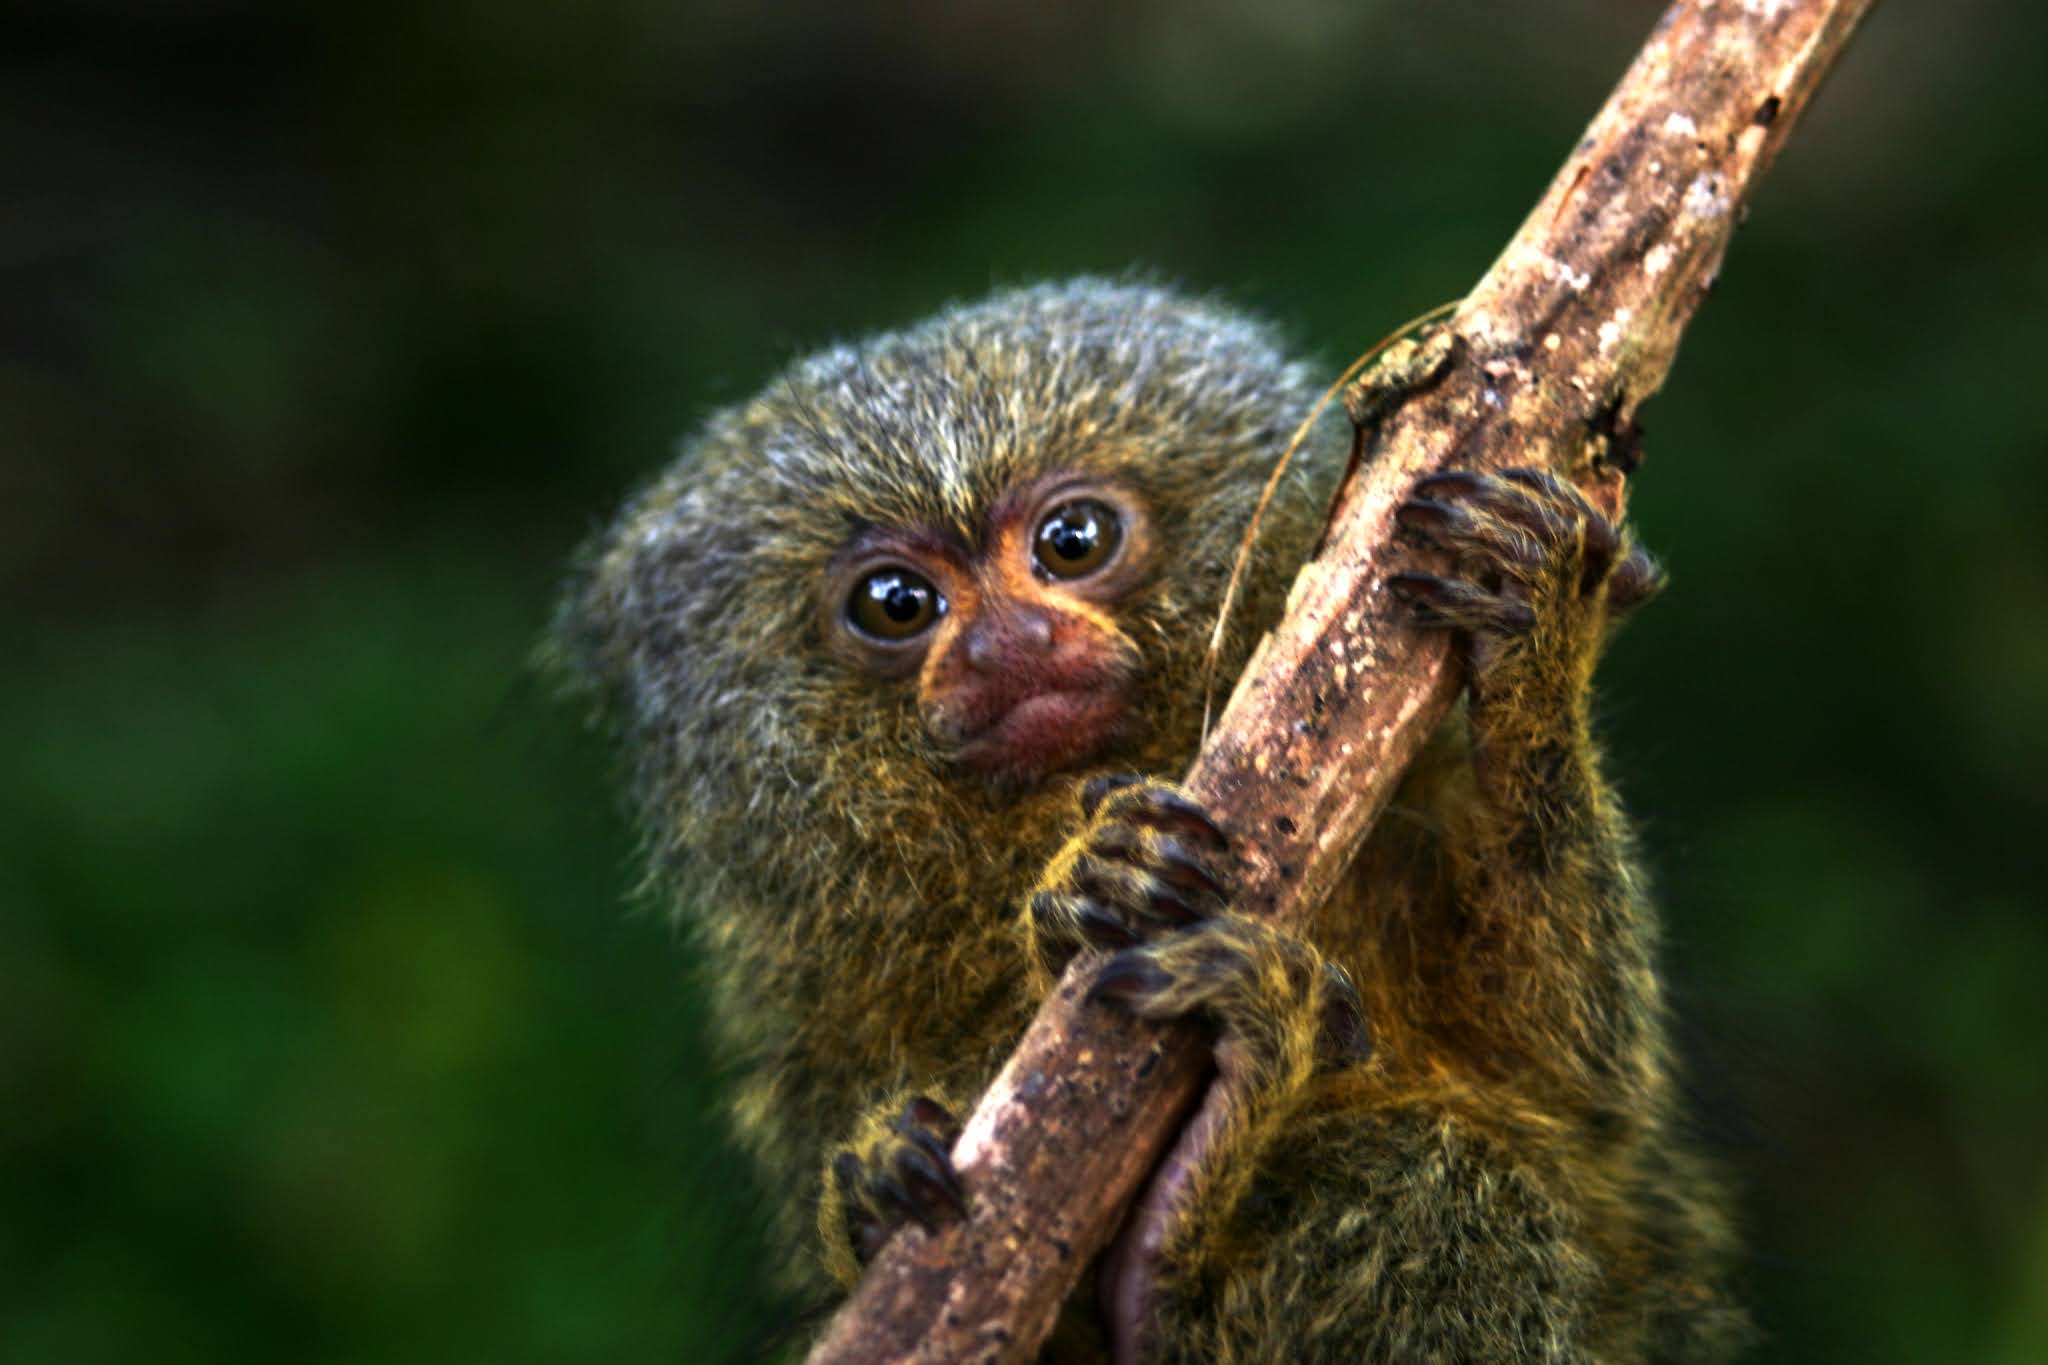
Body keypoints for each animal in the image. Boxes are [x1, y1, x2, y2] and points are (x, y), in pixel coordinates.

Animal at [548, 278, 1750, 1362]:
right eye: (896, 604)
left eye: (1072, 540)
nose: (1008, 643)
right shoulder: (805, 1012)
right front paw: (882, 1178)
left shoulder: (1419, 788)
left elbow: (1579, 1077)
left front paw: (1531, 632)